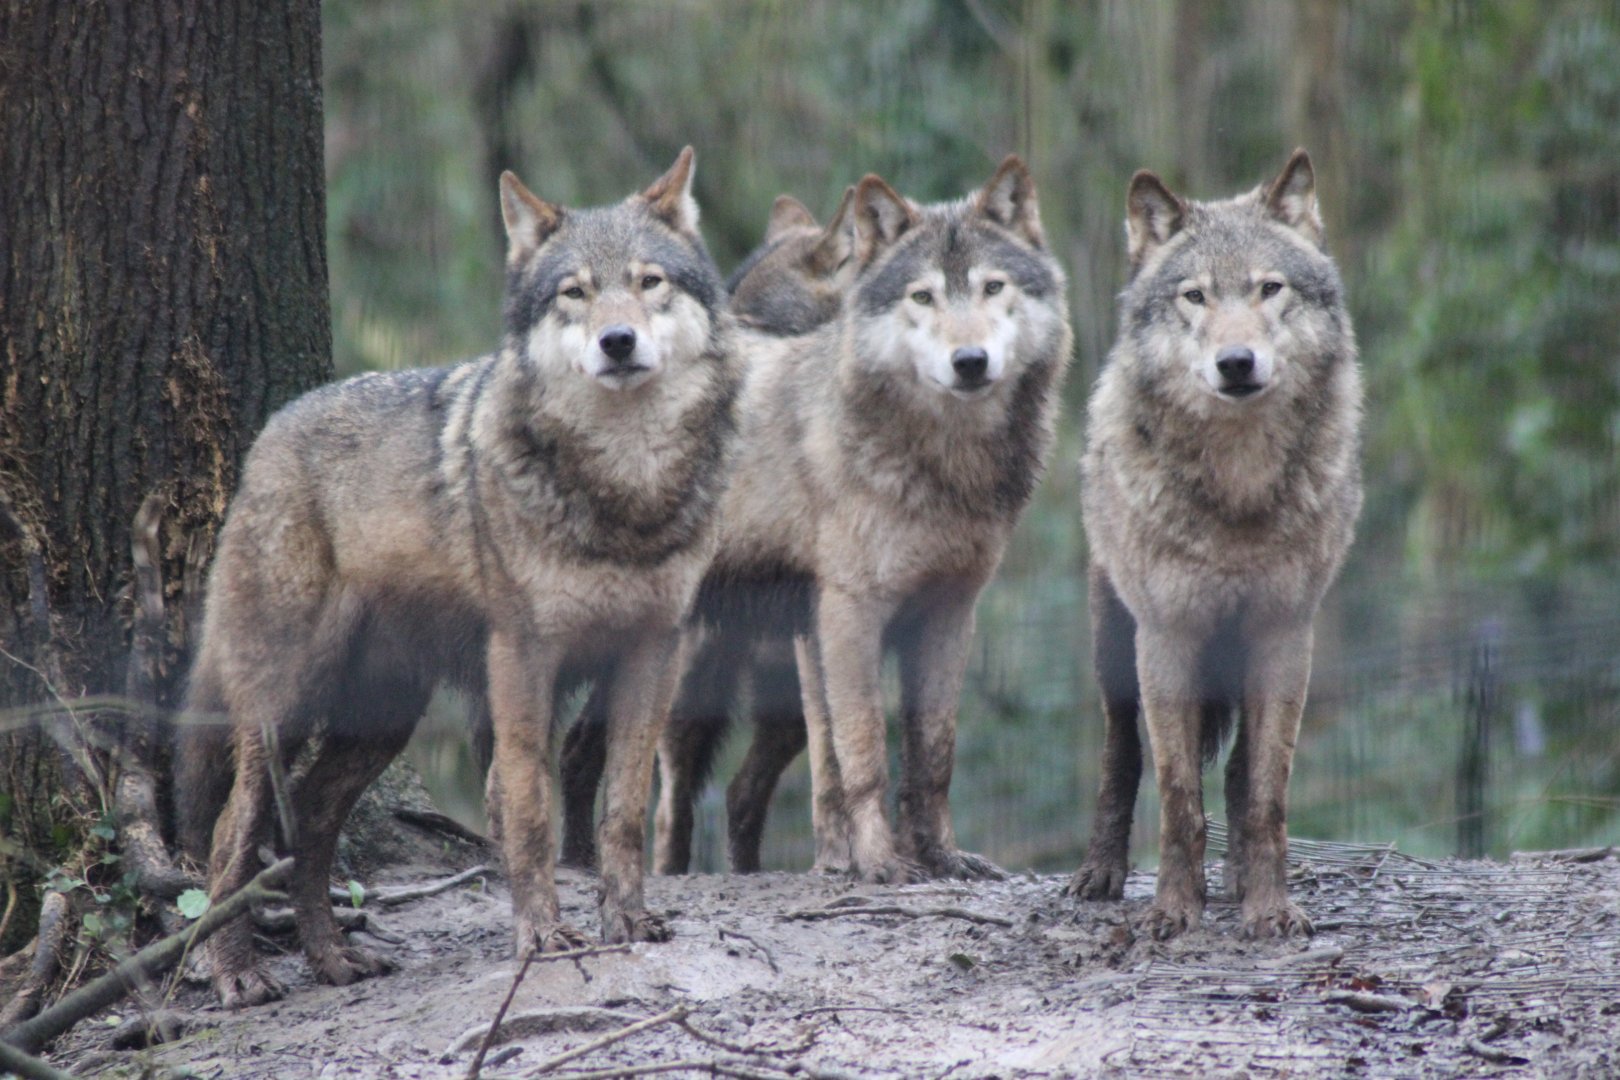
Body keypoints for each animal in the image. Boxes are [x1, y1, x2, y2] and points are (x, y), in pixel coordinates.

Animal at [177, 148, 739, 1007]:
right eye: (574, 292)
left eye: (649, 283)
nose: (617, 341)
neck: (623, 492)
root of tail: (268, 435)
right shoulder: (522, 657)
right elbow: (529, 812)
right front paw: (543, 938)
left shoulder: (656, 652)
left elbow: (622, 808)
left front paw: (629, 921)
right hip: (286, 701)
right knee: (230, 830)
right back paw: (237, 973)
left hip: (379, 718)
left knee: (310, 817)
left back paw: (333, 959)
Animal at [1065, 150, 1363, 939]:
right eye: (1195, 296)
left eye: (1269, 289)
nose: (1236, 361)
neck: (1239, 486)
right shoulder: (1167, 636)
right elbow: (1175, 795)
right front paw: (1173, 910)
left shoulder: (1286, 632)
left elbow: (1266, 795)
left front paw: (1270, 909)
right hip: (1114, 644)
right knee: (1119, 756)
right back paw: (1102, 873)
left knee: (1237, 773)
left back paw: (1237, 883)